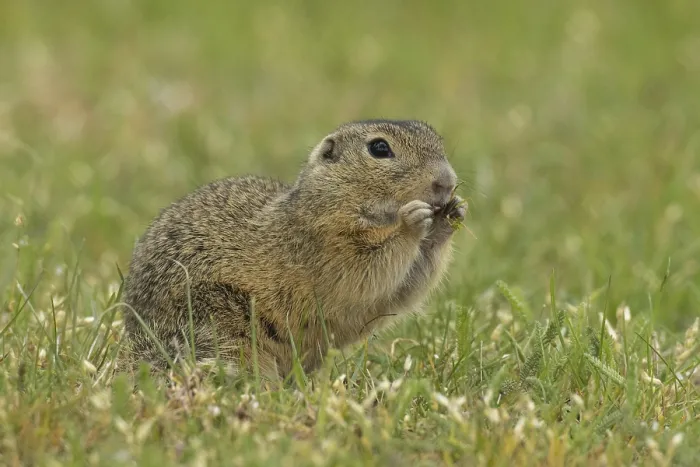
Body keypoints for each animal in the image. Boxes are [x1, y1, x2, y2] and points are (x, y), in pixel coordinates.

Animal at [120, 119, 466, 381]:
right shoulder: (326, 243)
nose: (447, 182)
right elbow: (369, 269)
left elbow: (404, 288)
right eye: (379, 148)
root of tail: (136, 346)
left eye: (438, 139)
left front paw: (451, 216)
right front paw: (412, 221)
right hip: (220, 321)